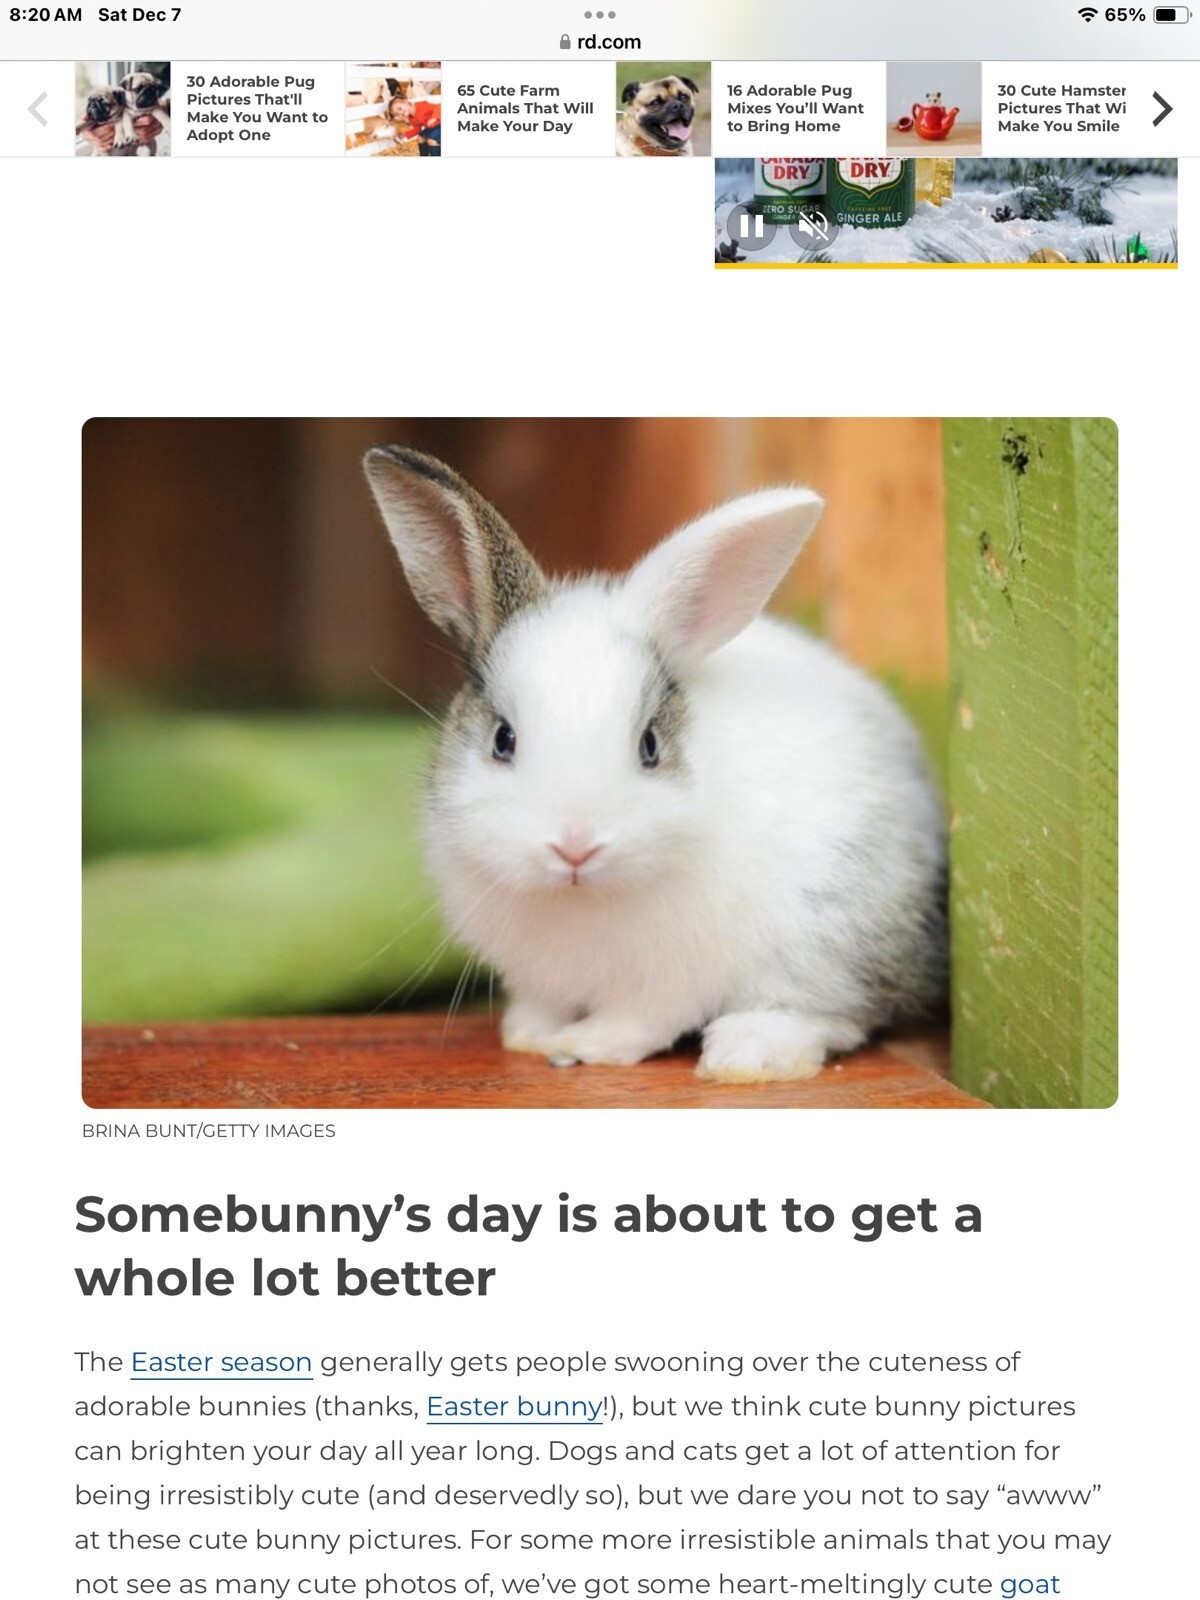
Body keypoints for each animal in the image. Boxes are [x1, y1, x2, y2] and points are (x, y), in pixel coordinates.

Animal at [364, 446, 947, 1082]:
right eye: (503, 739)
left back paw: (746, 1054)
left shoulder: (670, 982)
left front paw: (588, 1045)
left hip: (830, 934)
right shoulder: (538, 976)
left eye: (649, 746)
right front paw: (527, 1036)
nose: (575, 846)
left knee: (834, 1010)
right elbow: (543, 1004)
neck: (580, 898)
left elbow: (641, 1021)